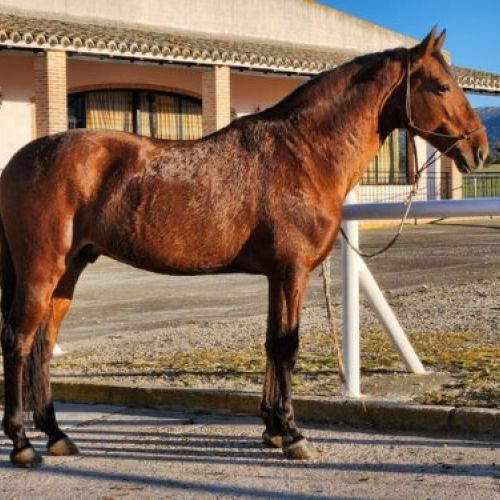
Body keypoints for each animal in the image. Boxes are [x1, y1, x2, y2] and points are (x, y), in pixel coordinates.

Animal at [0, 28, 484, 464]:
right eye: (441, 86)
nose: (480, 149)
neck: (302, 153)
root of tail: (21, 159)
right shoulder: (292, 270)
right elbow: (287, 345)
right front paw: (293, 435)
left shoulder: (277, 274)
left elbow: (272, 343)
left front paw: (273, 428)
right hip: (42, 270)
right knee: (19, 340)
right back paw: (23, 444)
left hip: (69, 270)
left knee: (44, 343)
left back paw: (57, 435)